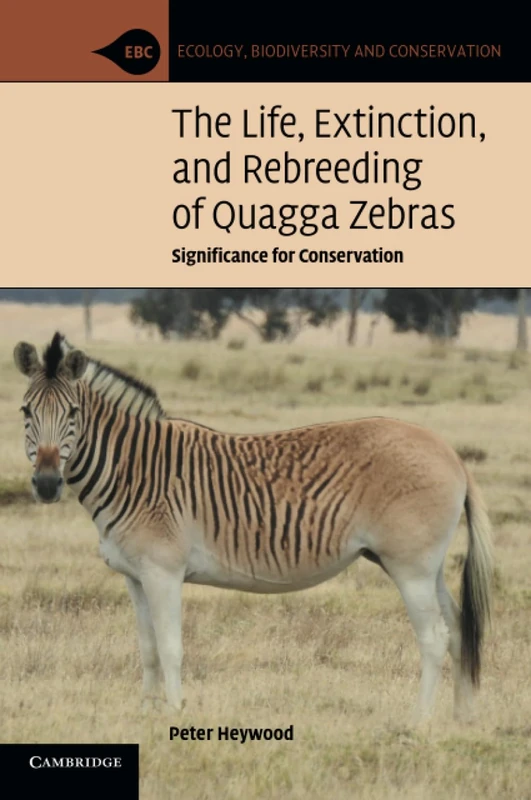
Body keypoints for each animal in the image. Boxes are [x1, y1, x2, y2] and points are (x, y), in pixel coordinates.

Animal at [14, 332, 493, 723]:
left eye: (73, 413)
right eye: (25, 411)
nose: (47, 484)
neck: (134, 472)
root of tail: (450, 452)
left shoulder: (162, 572)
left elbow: (170, 647)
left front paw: (175, 713)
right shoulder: (135, 576)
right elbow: (147, 649)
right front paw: (145, 715)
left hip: (410, 566)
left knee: (433, 636)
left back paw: (418, 722)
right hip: (426, 566)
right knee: (457, 628)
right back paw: (462, 718)